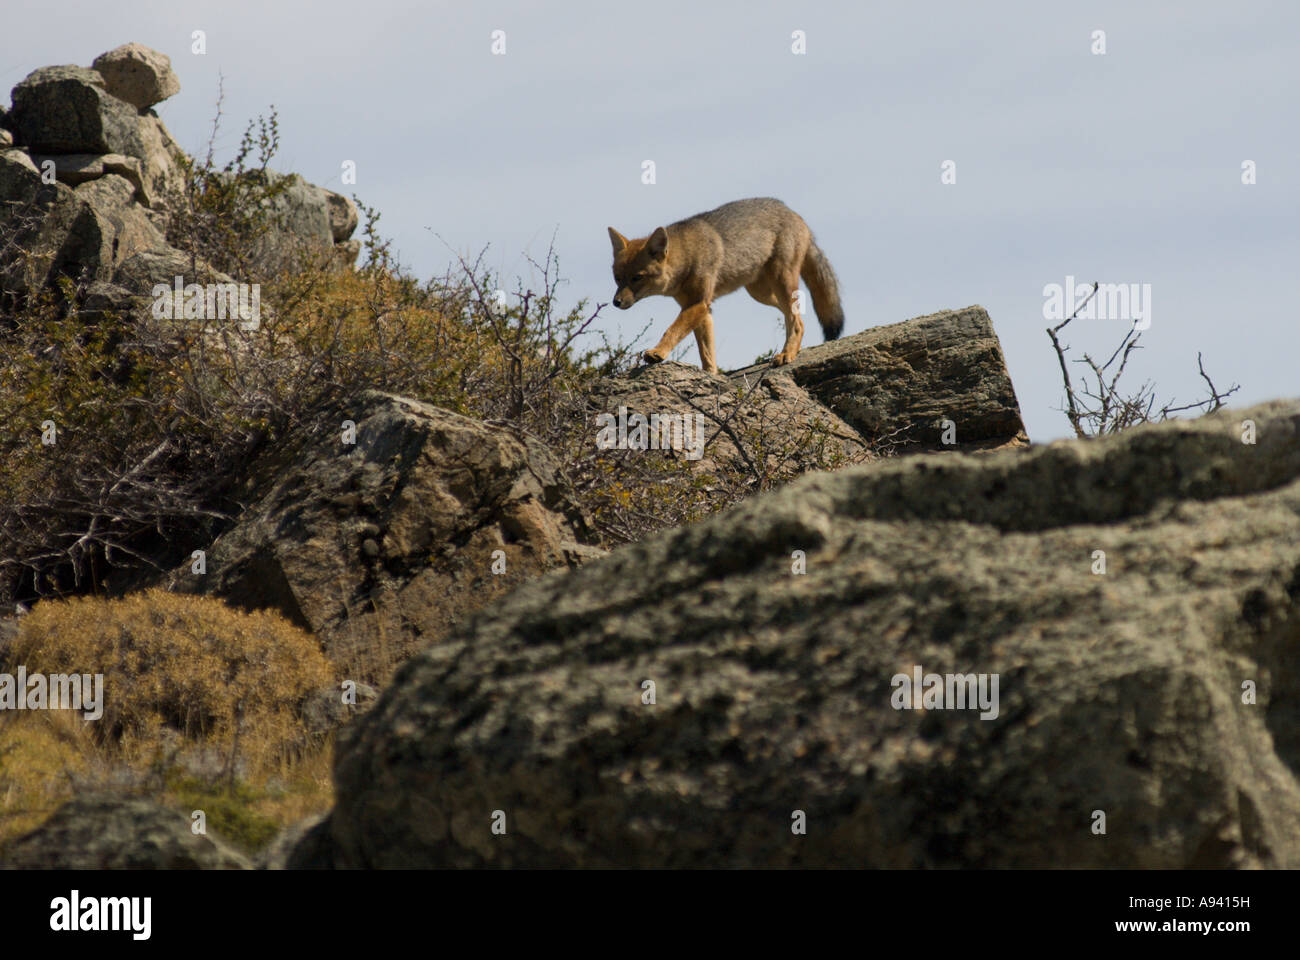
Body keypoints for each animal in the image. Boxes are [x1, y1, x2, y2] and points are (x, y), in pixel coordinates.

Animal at [608, 197, 844, 374]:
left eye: (637, 278)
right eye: (617, 278)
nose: (615, 302)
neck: (688, 255)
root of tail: (792, 211)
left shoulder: (698, 304)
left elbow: (672, 330)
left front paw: (657, 352)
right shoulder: (702, 309)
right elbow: (707, 352)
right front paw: (711, 375)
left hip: (780, 282)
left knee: (796, 321)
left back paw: (787, 354)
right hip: (761, 293)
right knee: (795, 315)